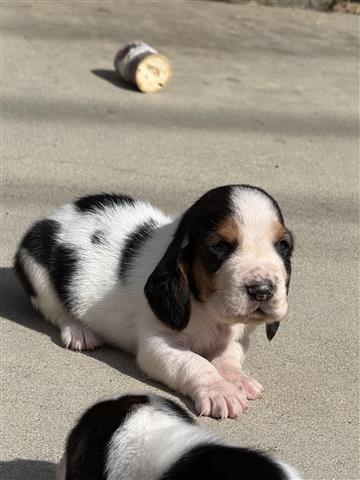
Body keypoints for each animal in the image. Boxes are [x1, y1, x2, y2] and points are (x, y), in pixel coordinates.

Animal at [15, 186, 294, 418]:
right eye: (220, 246)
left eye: (283, 244)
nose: (262, 290)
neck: (208, 310)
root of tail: (55, 214)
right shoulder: (159, 345)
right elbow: (196, 363)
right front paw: (220, 391)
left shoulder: (236, 338)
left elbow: (227, 358)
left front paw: (238, 379)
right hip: (35, 268)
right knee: (55, 311)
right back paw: (79, 330)